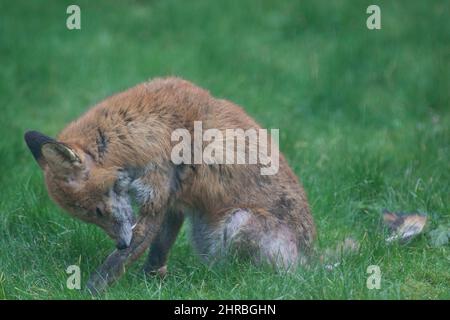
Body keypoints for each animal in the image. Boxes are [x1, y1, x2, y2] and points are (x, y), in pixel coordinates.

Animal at [22, 77, 314, 292]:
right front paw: (152, 282)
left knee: (244, 276)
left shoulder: (157, 196)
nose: (121, 244)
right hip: (202, 233)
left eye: (97, 211)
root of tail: (311, 261)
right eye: (91, 217)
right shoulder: (173, 204)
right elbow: (157, 251)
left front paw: (89, 291)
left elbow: (114, 265)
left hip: (237, 221)